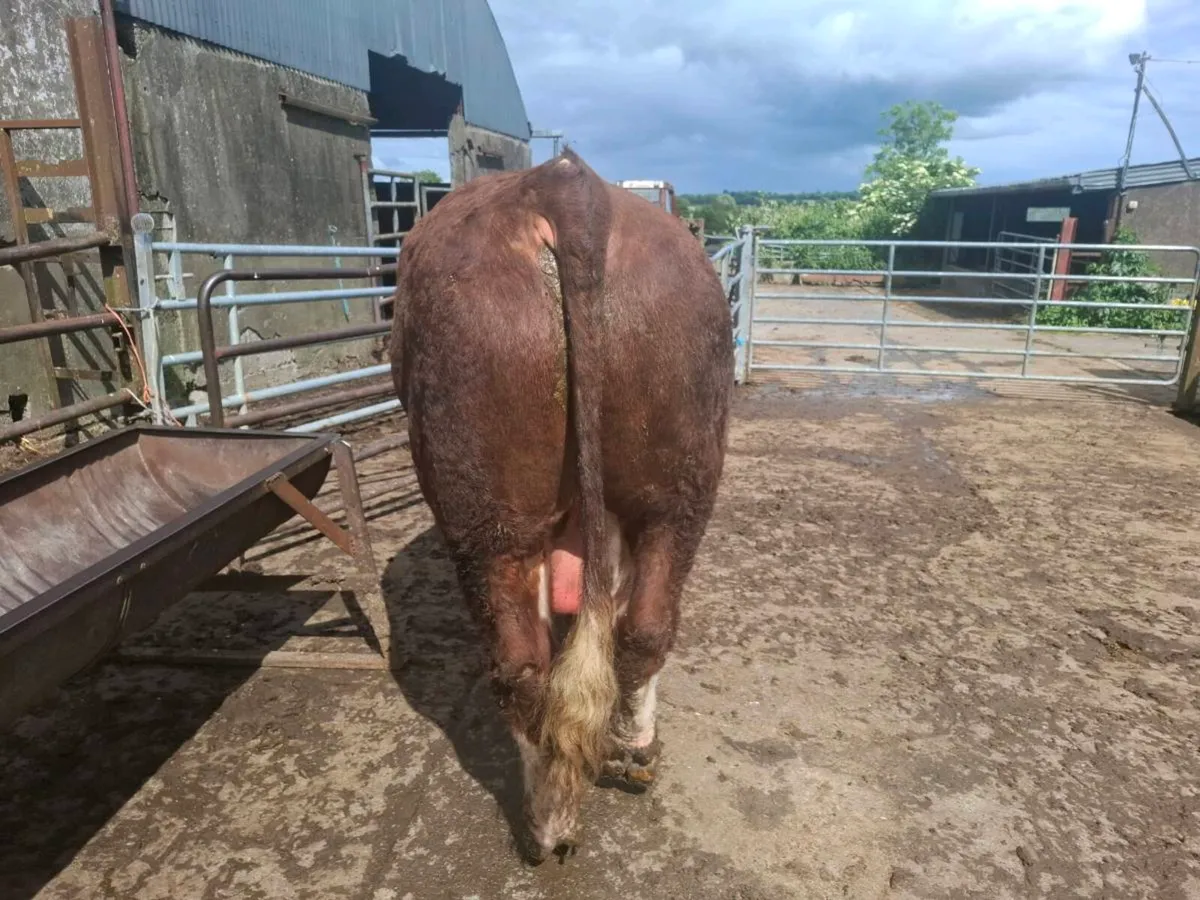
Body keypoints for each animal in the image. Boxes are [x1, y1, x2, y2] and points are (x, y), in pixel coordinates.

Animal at [389, 149, 733, 862]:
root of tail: (567, 186)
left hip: (486, 503)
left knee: (523, 664)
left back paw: (547, 818)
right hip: (678, 476)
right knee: (642, 627)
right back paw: (631, 755)